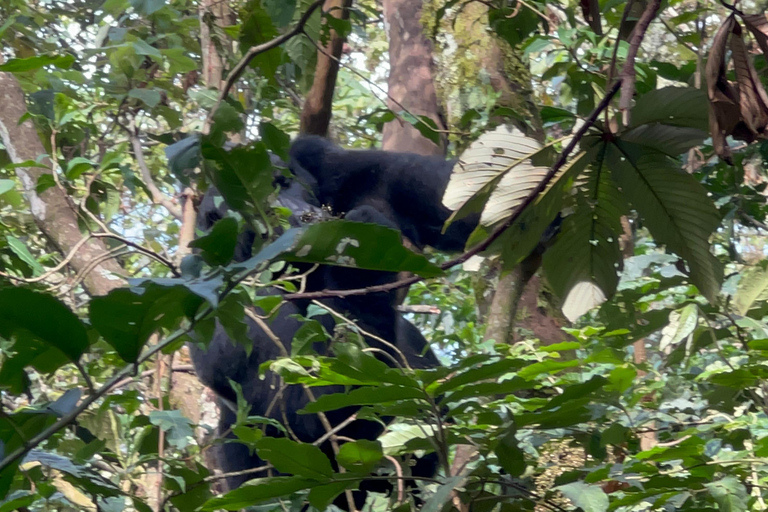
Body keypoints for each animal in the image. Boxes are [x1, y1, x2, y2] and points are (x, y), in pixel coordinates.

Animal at [189, 137, 476, 508]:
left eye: (281, 182)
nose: (292, 211)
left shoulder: (328, 164)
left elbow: (445, 194)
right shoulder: (224, 314)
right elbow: (306, 414)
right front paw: (355, 262)